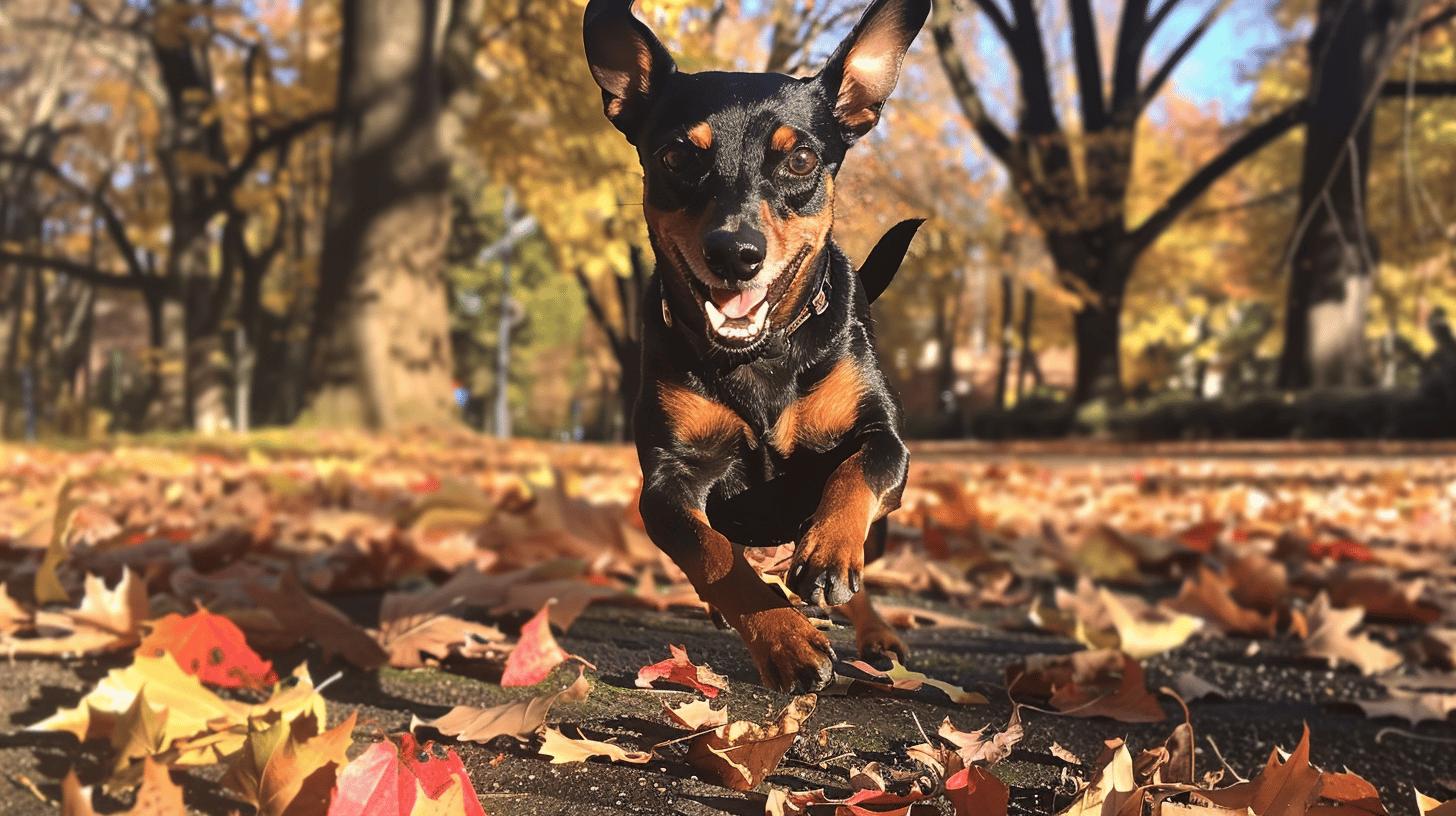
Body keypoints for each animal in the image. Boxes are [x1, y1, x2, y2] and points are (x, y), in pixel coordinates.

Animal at [585, 0, 926, 693]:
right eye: (677, 156)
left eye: (799, 162)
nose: (735, 253)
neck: (759, 357)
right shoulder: (668, 479)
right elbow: (712, 553)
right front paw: (786, 641)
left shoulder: (884, 440)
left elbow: (858, 470)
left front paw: (826, 554)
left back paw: (873, 630)